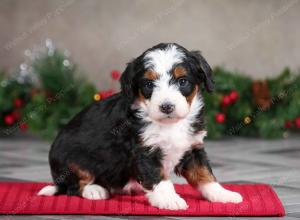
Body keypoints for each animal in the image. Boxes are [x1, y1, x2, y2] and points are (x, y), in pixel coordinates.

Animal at [38, 42, 244, 210]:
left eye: (182, 81)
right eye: (149, 84)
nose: (166, 106)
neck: (169, 125)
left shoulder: (192, 148)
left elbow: (205, 174)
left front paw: (223, 194)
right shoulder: (144, 151)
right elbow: (159, 178)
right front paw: (170, 199)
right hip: (71, 159)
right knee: (74, 185)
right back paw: (95, 190)